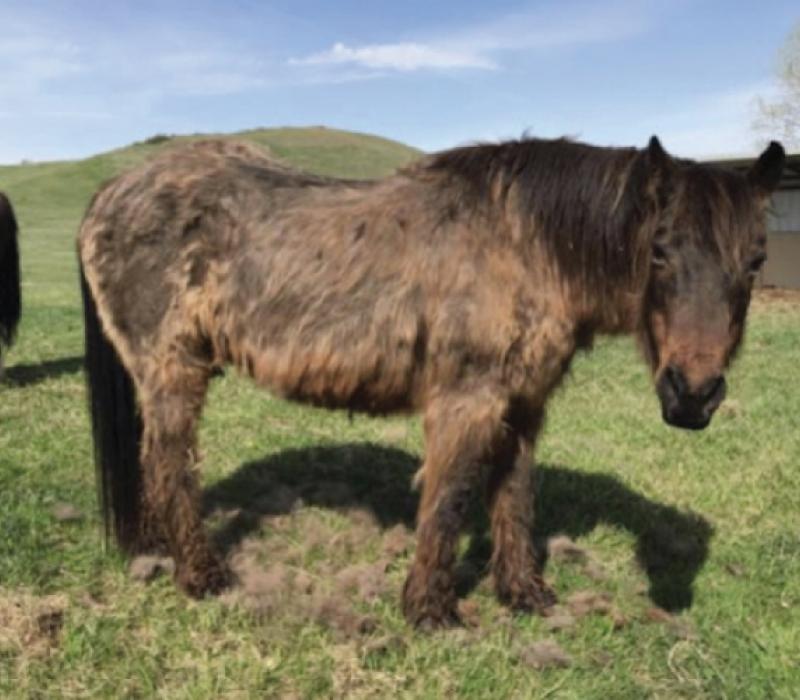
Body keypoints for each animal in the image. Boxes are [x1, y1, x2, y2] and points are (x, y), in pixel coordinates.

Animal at [78, 135, 784, 629]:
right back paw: (201, 575)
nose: (692, 395)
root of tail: (111, 190)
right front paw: (429, 610)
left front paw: (523, 594)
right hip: (174, 371)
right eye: (659, 251)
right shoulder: (465, 401)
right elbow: (446, 501)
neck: (525, 242)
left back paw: (156, 548)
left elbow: (514, 498)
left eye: (755, 261)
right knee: (169, 464)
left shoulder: (522, 405)